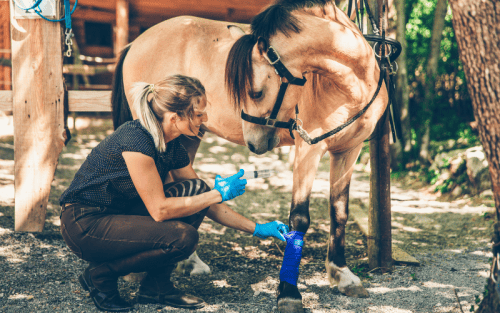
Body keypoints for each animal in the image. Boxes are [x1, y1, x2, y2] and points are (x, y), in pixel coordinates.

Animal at [111, 0, 388, 310]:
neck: (351, 85)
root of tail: (137, 42)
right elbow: (299, 218)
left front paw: (342, 275)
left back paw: (189, 262)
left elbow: (339, 211)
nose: (253, 144)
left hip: (187, 136)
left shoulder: (349, 150)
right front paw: (289, 292)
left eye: (255, 92)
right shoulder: (309, 148)